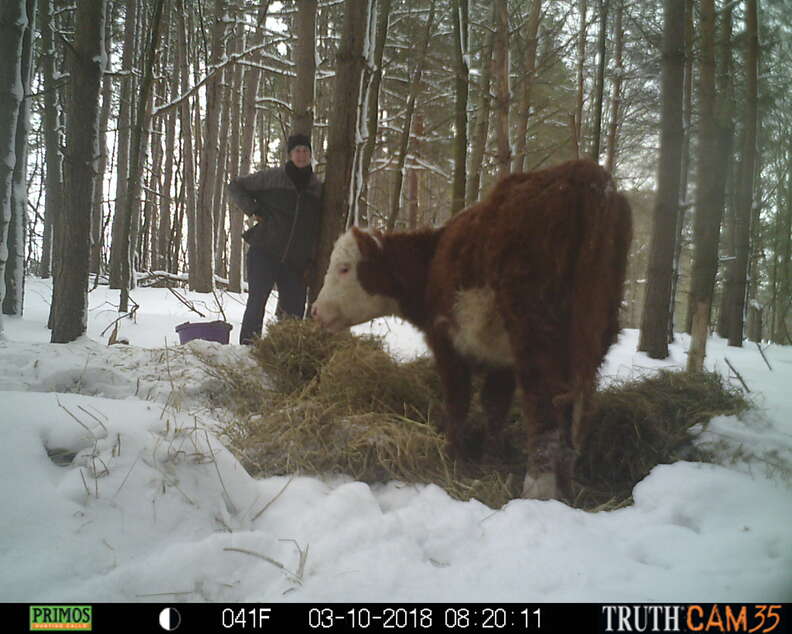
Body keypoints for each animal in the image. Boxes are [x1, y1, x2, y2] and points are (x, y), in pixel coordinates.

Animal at [311, 159, 633, 501]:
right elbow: (494, 406)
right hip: (595, 328)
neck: (431, 261)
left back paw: (538, 486)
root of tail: (585, 175)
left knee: (544, 401)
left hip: (533, 330)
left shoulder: (445, 338)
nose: (316, 310)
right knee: (577, 401)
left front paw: (452, 453)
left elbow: (458, 400)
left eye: (344, 268)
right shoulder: (502, 358)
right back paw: (566, 483)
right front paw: (490, 456)